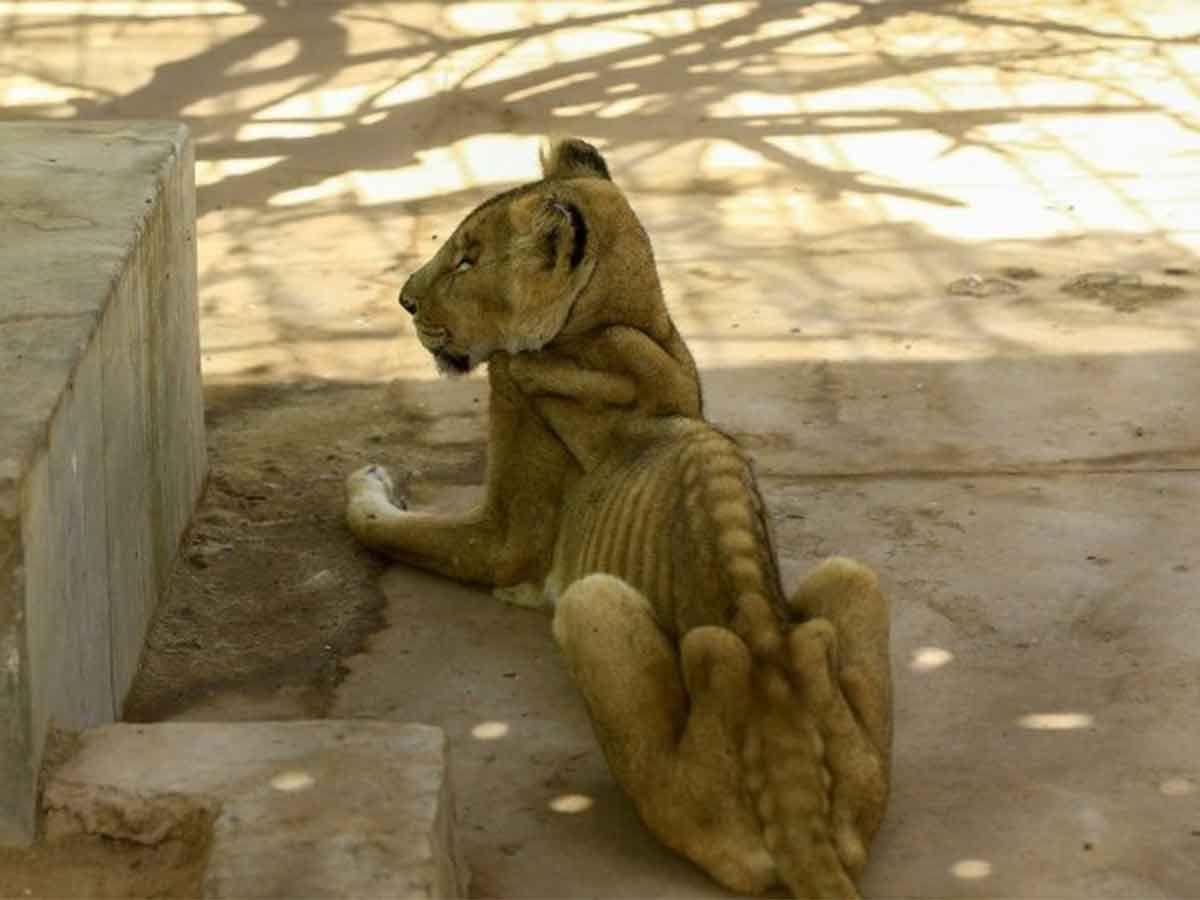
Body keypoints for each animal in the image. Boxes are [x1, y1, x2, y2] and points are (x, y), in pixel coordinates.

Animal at [346, 138, 892, 899]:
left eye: (467, 259)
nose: (404, 300)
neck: (621, 323)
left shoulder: (504, 534)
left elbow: (390, 527)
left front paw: (364, 481)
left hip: (591, 605)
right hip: (855, 584)